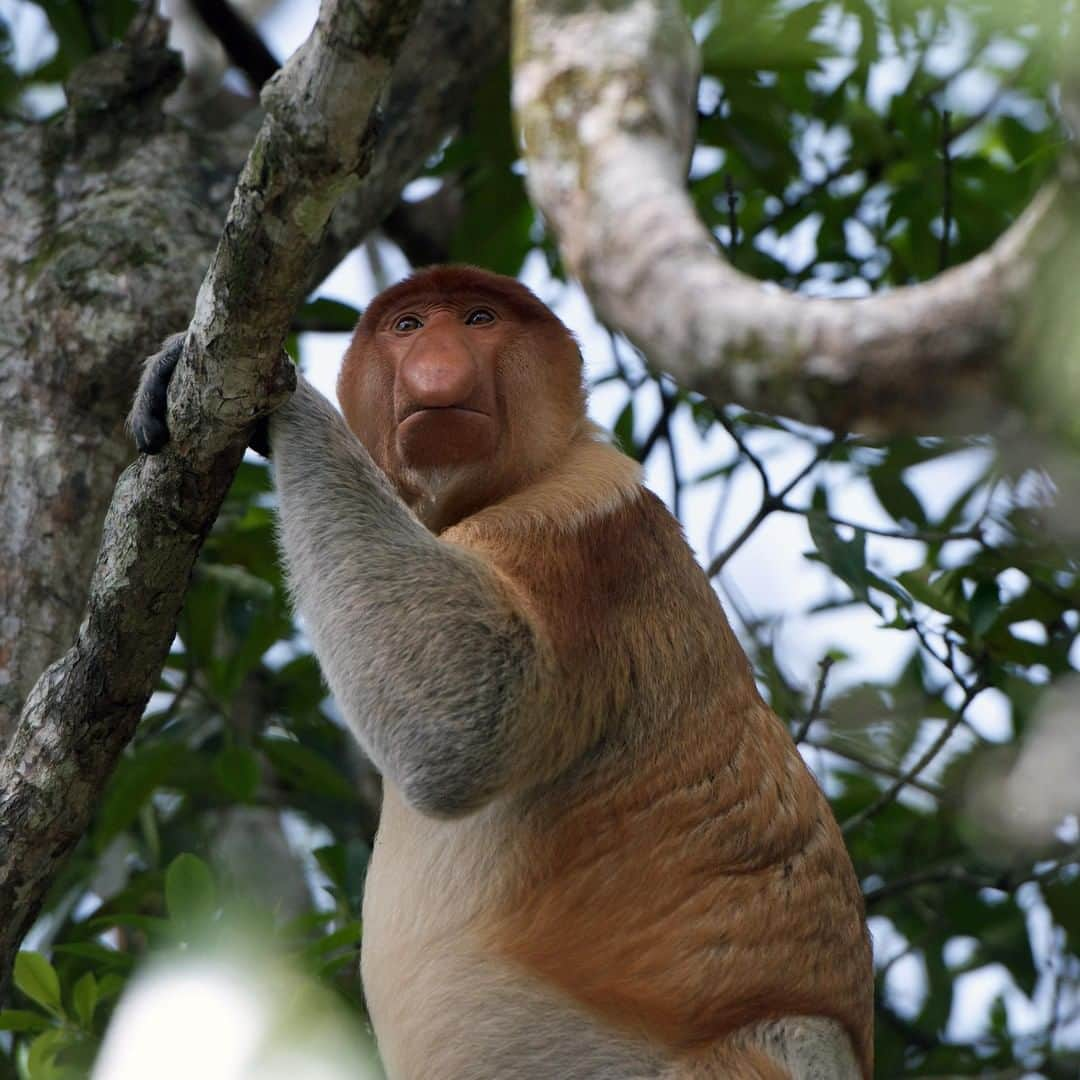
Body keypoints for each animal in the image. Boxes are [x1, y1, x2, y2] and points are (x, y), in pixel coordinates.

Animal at [130, 263, 872, 1080]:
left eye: (480, 319)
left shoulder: (578, 521)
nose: (436, 369)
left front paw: (283, 398)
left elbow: (472, 708)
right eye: (410, 326)